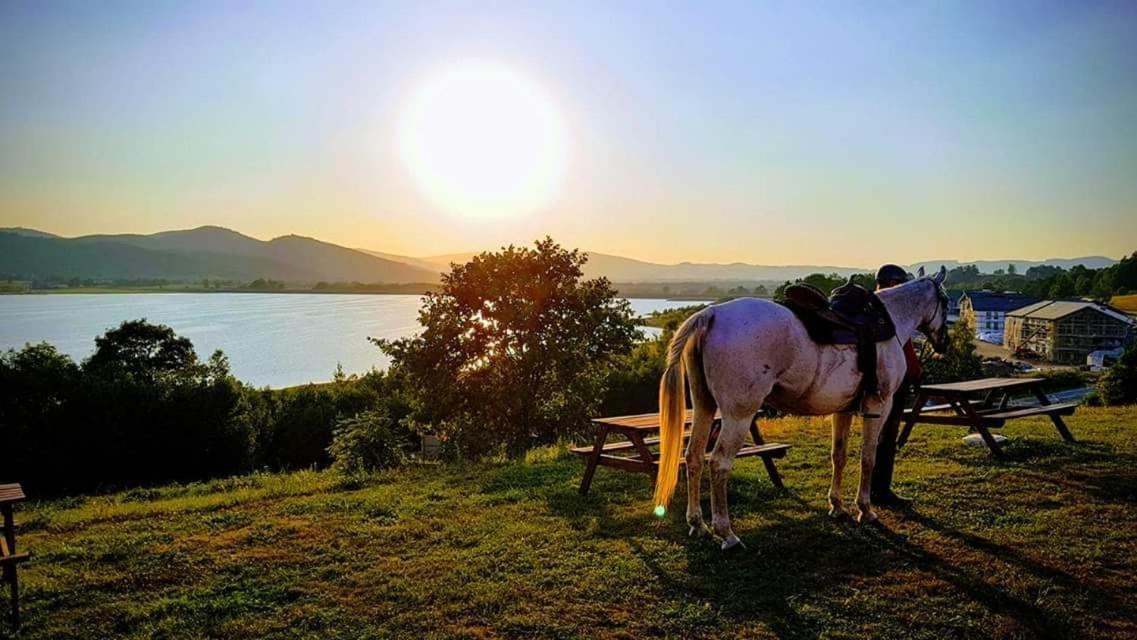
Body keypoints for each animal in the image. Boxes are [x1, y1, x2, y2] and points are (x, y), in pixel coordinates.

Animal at [654, 266, 945, 550]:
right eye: (945, 299)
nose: (943, 344)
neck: (889, 322)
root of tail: (712, 313)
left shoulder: (843, 410)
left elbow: (838, 456)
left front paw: (836, 506)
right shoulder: (878, 406)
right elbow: (868, 458)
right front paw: (866, 510)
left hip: (704, 407)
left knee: (693, 457)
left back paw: (698, 524)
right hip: (738, 416)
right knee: (718, 464)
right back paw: (727, 533)